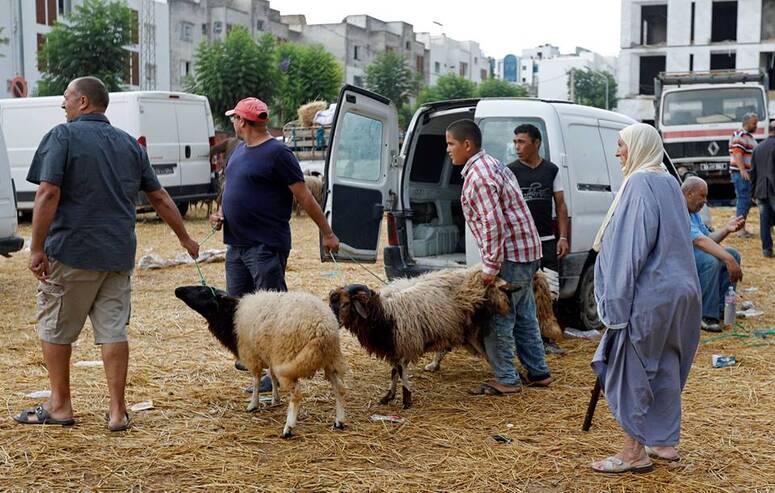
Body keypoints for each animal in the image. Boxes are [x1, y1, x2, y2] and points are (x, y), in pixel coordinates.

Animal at [177, 284, 348, 438]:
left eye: (203, 291)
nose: (177, 290)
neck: (231, 315)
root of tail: (322, 328)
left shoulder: (252, 355)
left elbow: (256, 379)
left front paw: (253, 404)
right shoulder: (269, 354)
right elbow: (271, 375)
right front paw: (275, 399)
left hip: (288, 357)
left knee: (297, 395)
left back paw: (288, 428)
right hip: (330, 359)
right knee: (339, 388)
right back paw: (339, 421)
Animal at [328, 266, 516, 408]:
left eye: (345, 304)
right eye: (331, 304)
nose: (333, 322)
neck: (384, 313)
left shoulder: (406, 344)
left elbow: (401, 371)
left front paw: (407, 399)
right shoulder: (395, 347)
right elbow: (394, 372)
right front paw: (389, 396)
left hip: (471, 333)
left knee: (488, 354)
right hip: (451, 330)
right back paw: (434, 365)